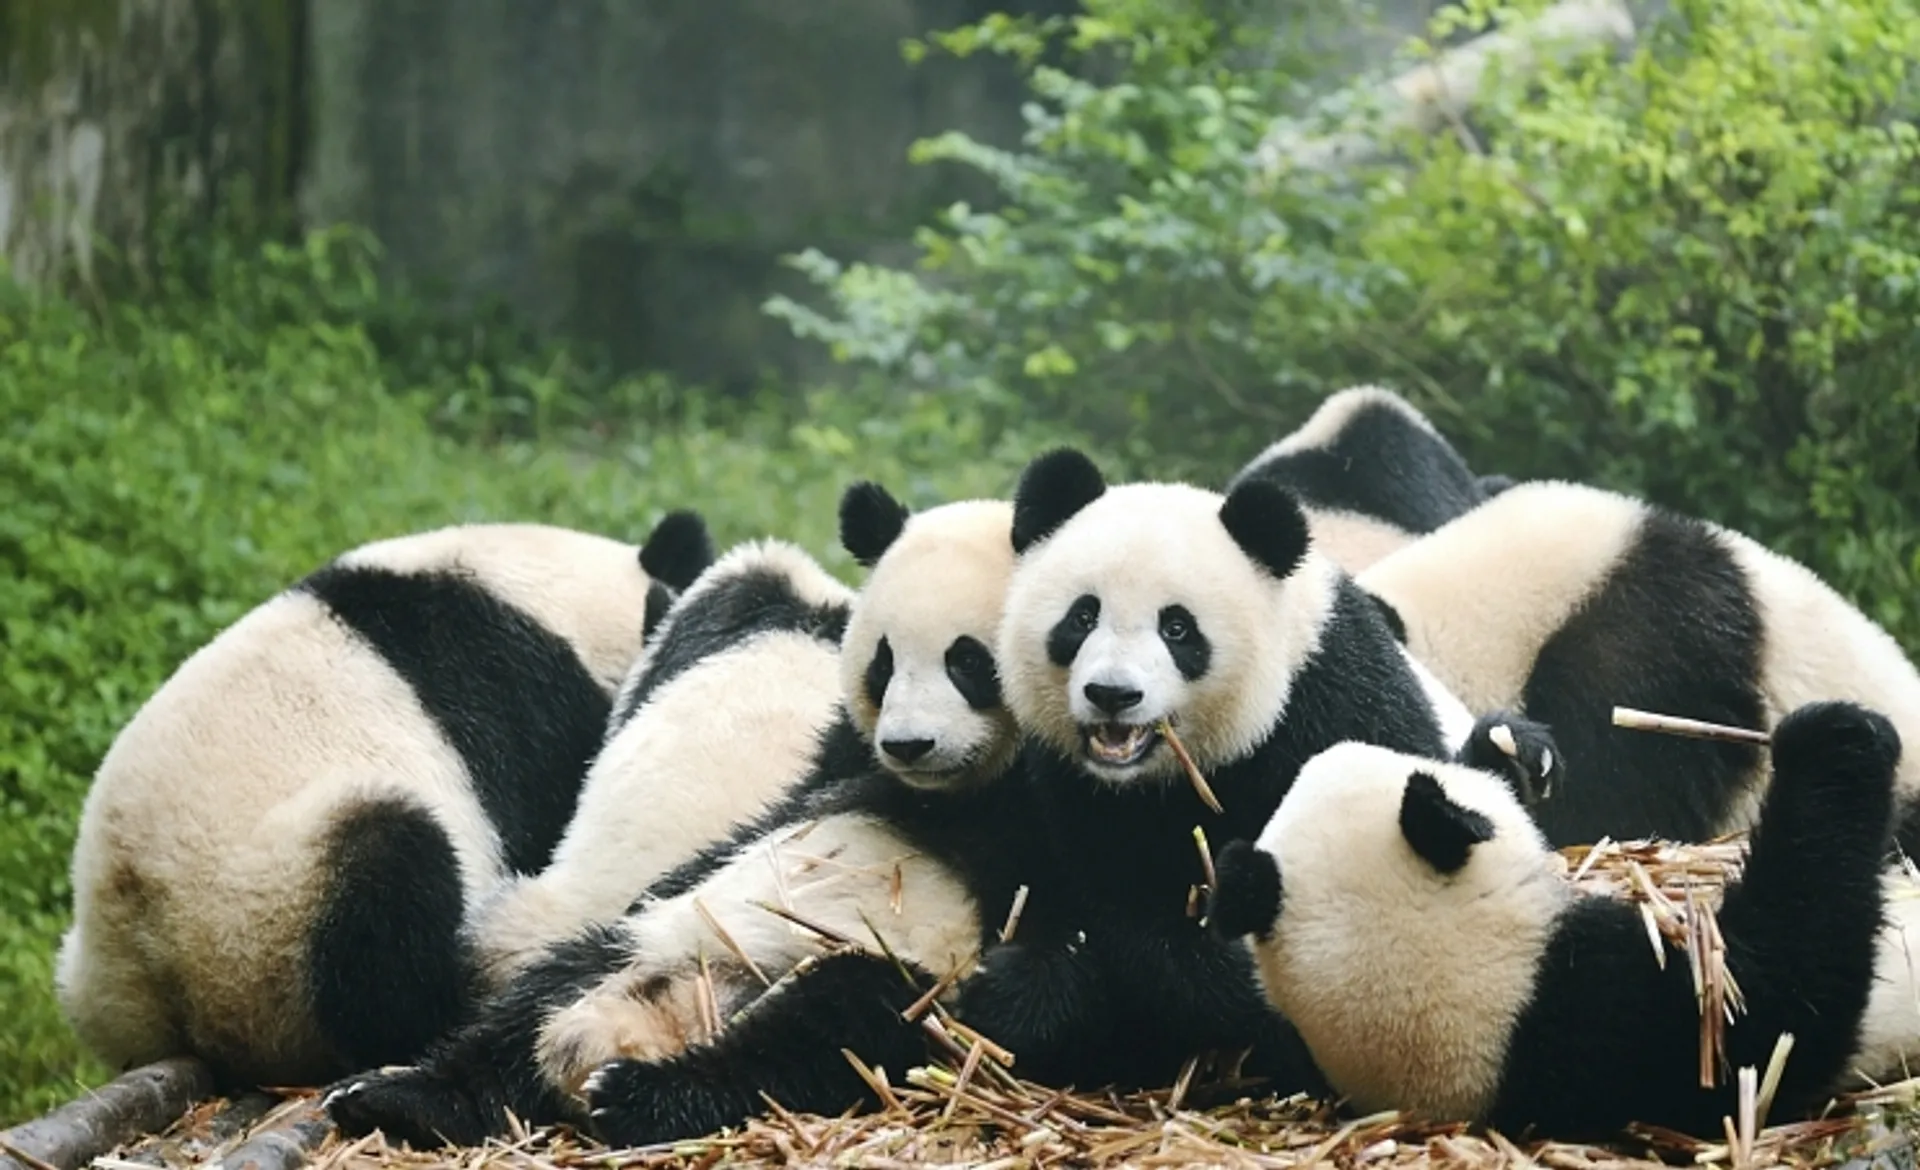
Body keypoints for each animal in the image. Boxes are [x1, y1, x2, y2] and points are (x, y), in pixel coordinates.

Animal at [53, 514, 715, 1090]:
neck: (549, 602)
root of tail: (161, 962)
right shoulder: (529, 710)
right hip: (269, 903)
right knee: (388, 887)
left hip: (107, 972)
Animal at [949, 447, 1541, 1092]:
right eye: (1082, 617)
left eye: (1177, 628)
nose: (1113, 694)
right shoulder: (1063, 788)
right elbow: (1095, 904)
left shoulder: (1331, 701)